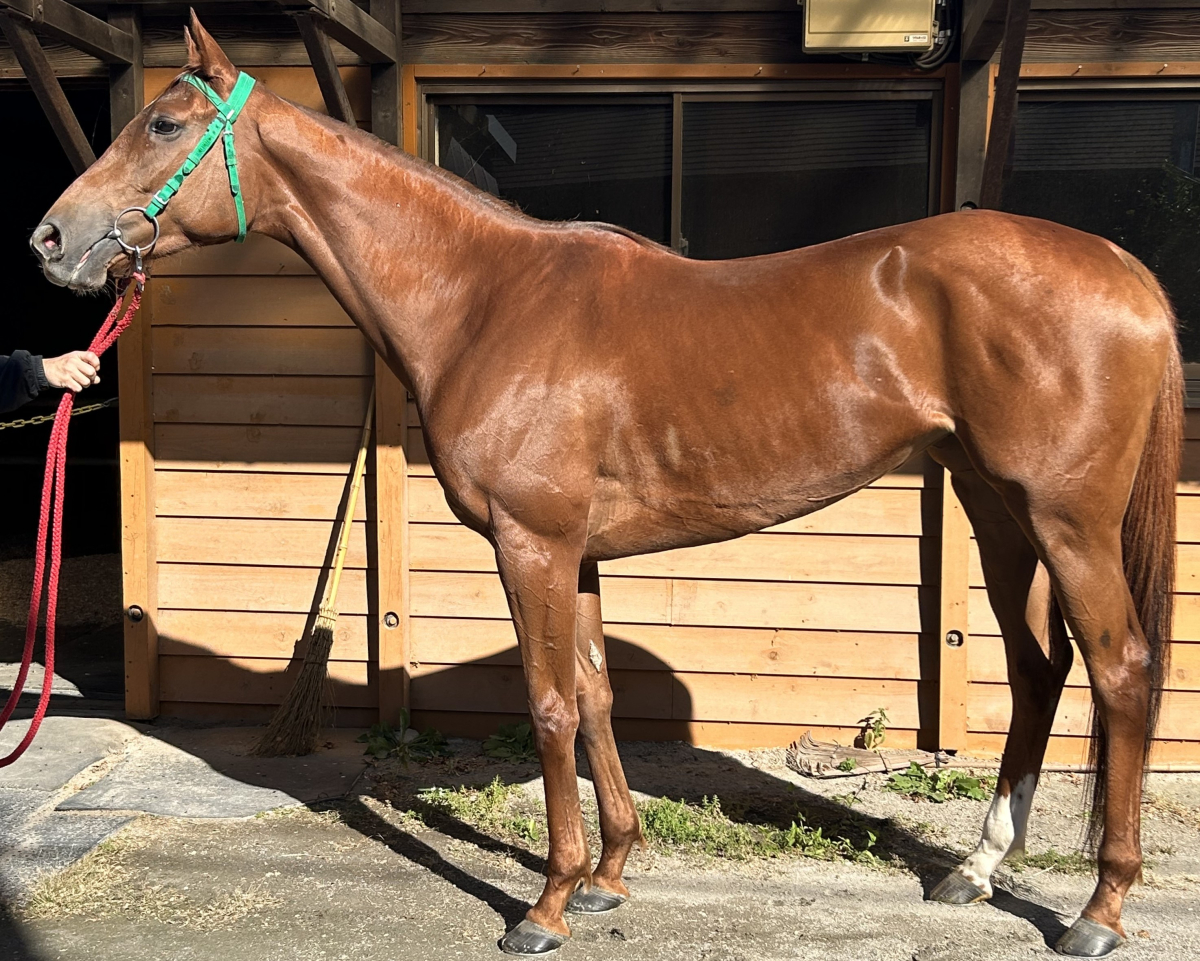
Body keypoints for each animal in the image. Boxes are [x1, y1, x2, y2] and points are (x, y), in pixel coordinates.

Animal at [30, 15, 1179, 958]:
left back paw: (1098, 910)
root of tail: (1123, 268)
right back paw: (976, 869)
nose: (50, 240)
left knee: (1119, 669)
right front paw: (611, 875)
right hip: (997, 509)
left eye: (166, 123)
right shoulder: (575, 552)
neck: (483, 297)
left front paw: (545, 904)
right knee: (1037, 669)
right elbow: (593, 696)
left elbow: (546, 705)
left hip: (1066, 519)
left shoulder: (529, 542)